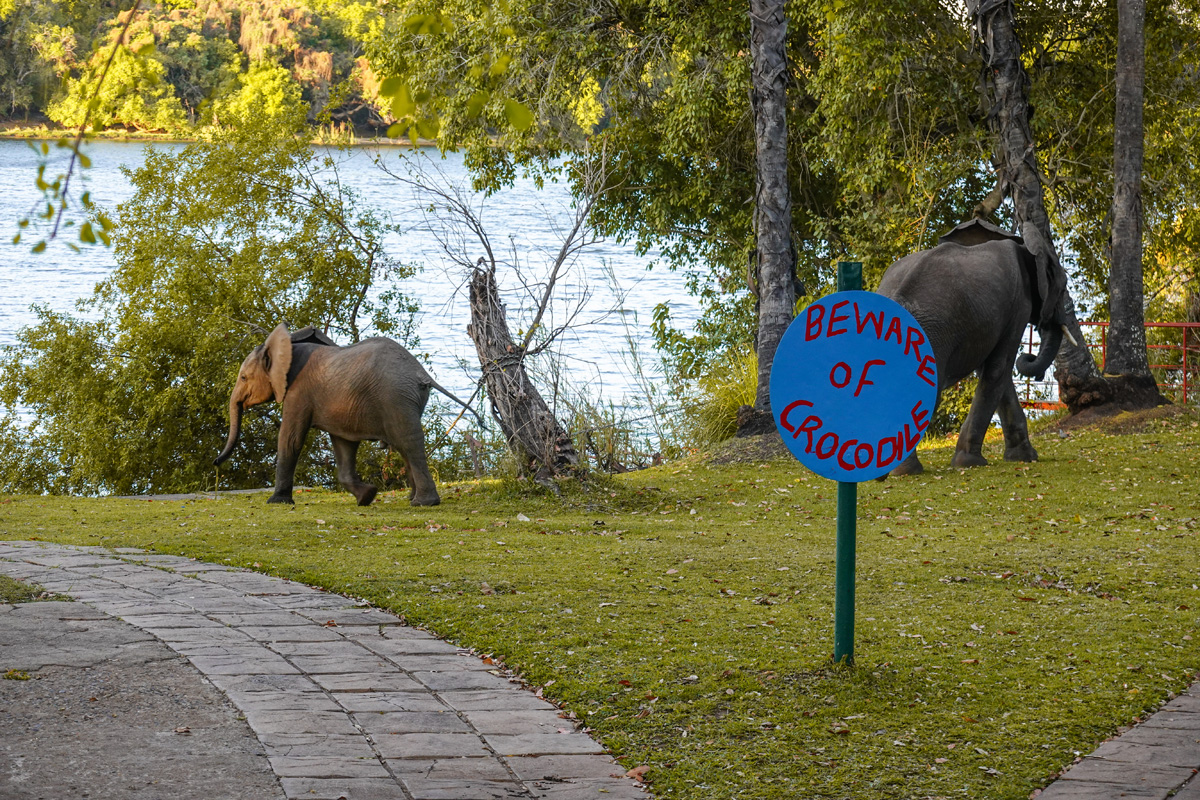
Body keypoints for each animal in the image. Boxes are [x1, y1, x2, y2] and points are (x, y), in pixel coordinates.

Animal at [214, 324, 476, 506]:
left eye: (243, 378)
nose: (216, 463)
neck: (287, 346)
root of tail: (422, 374)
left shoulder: (298, 393)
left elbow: (291, 439)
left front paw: (276, 502)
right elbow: (343, 445)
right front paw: (367, 497)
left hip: (395, 397)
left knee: (408, 442)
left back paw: (423, 503)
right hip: (403, 400)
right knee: (404, 445)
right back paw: (413, 500)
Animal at [876, 219, 1070, 474]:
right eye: (1063, 285)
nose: (1029, 357)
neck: (1024, 244)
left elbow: (993, 372)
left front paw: (1025, 458)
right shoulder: (1018, 305)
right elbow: (999, 369)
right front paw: (970, 462)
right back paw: (907, 471)